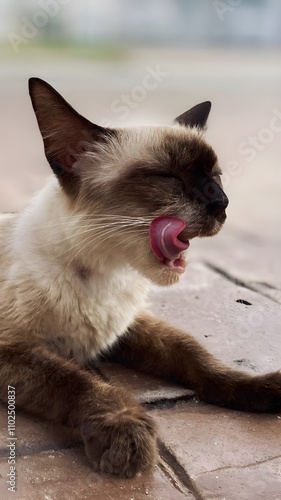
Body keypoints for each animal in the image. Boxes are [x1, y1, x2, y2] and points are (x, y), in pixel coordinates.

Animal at [0, 77, 278, 476]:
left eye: (217, 177)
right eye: (167, 177)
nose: (222, 204)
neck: (104, 273)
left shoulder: (129, 327)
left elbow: (194, 355)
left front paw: (259, 388)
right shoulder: (13, 348)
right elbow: (75, 381)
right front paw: (124, 429)